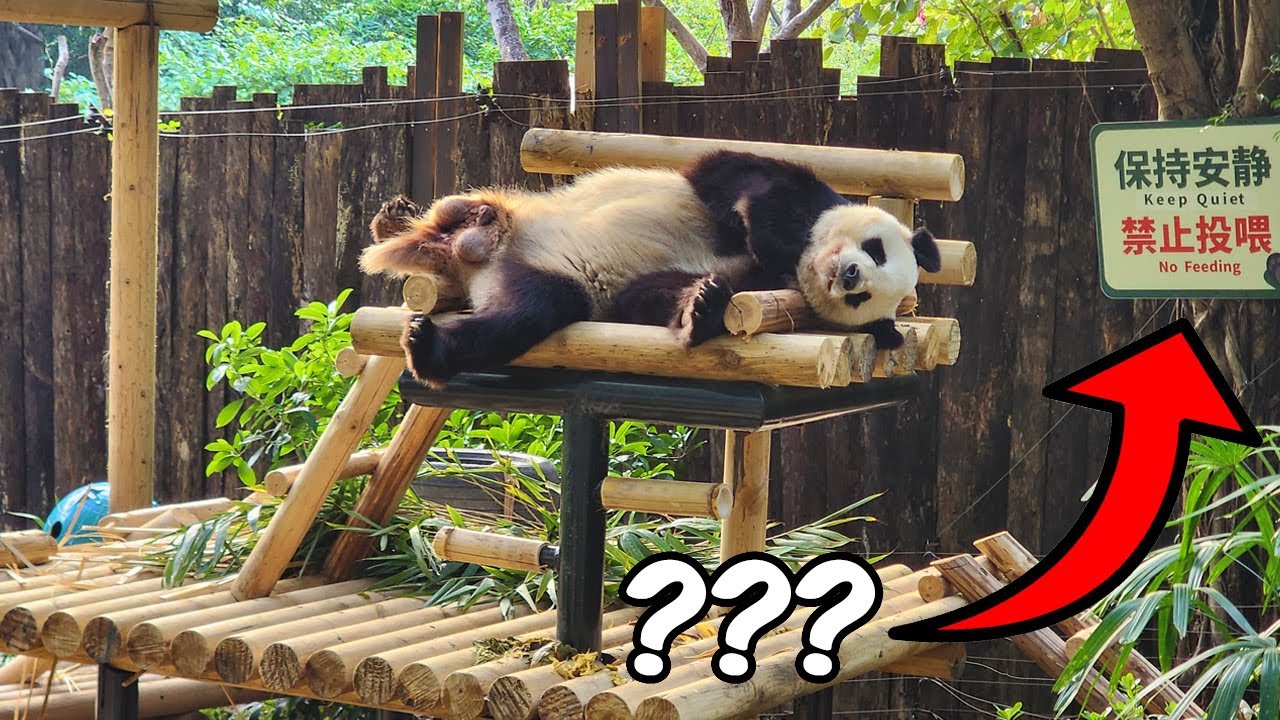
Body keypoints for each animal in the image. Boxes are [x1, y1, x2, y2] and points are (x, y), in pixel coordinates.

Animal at [360, 151, 941, 388]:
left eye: (862, 301)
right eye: (876, 250)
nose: (849, 277)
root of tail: (479, 267)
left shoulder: (750, 281)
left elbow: (649, 295)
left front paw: (702, 307)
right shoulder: (782, 186)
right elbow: (743, 186)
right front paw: (770, 238)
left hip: (546, 280)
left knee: (522, 316)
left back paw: (430, 348)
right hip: (511, 214)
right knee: (467, 211)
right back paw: (459, 222)